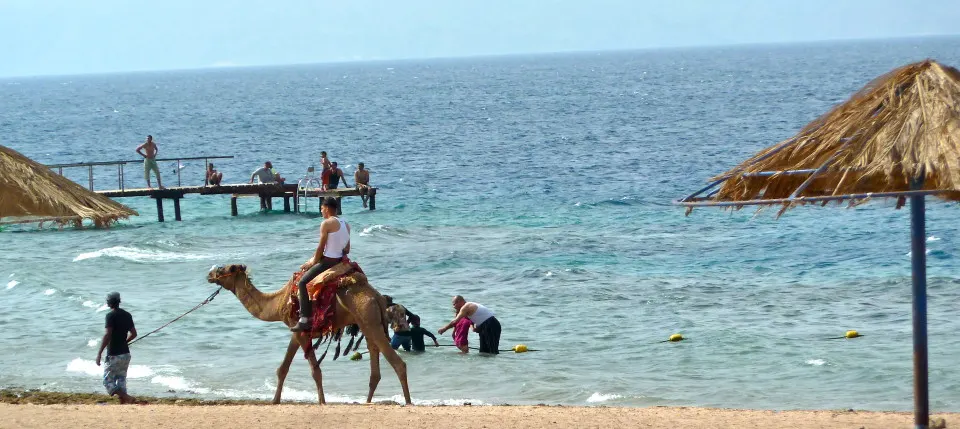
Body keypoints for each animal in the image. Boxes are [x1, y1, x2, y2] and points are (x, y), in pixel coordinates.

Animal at [206, 262, 408, 402]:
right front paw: (275, 401)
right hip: (368, 323)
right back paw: (367, 402)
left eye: (223, 269)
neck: (278, 302)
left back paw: (407, 402)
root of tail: (377, 297)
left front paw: (322, 402)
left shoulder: (300, 330)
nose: (209, 274)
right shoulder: (296, 331)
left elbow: (315, 370)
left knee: (398, 363)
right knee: (375, 369)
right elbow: (283, 368)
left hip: (368, 319)